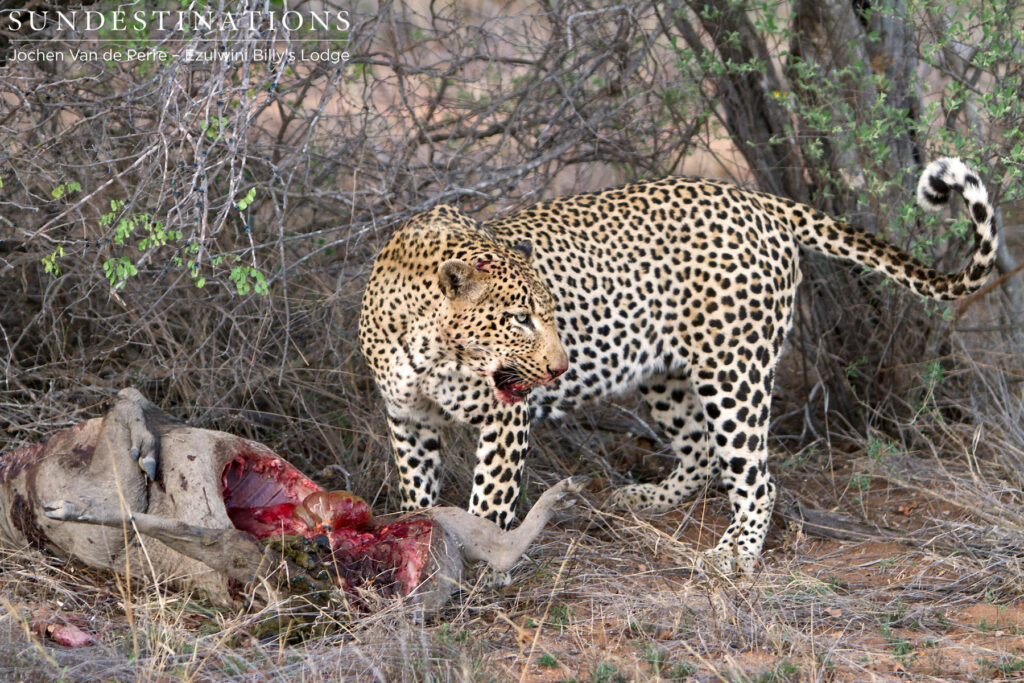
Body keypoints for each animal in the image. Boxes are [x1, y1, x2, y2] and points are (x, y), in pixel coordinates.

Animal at [358, 158, 996, 573]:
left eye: (551, 313)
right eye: (519, 319)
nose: (560, 368)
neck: (428, 343)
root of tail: (759, 198)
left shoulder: (503, 420)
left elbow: (490, 505)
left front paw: (481, 566)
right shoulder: (406, 419)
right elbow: (417, 494)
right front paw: (416, 548)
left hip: (734, 368)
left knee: (755, 476)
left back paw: (734, 555)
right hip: (664, 373)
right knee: (702, 450)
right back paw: (642, 500)